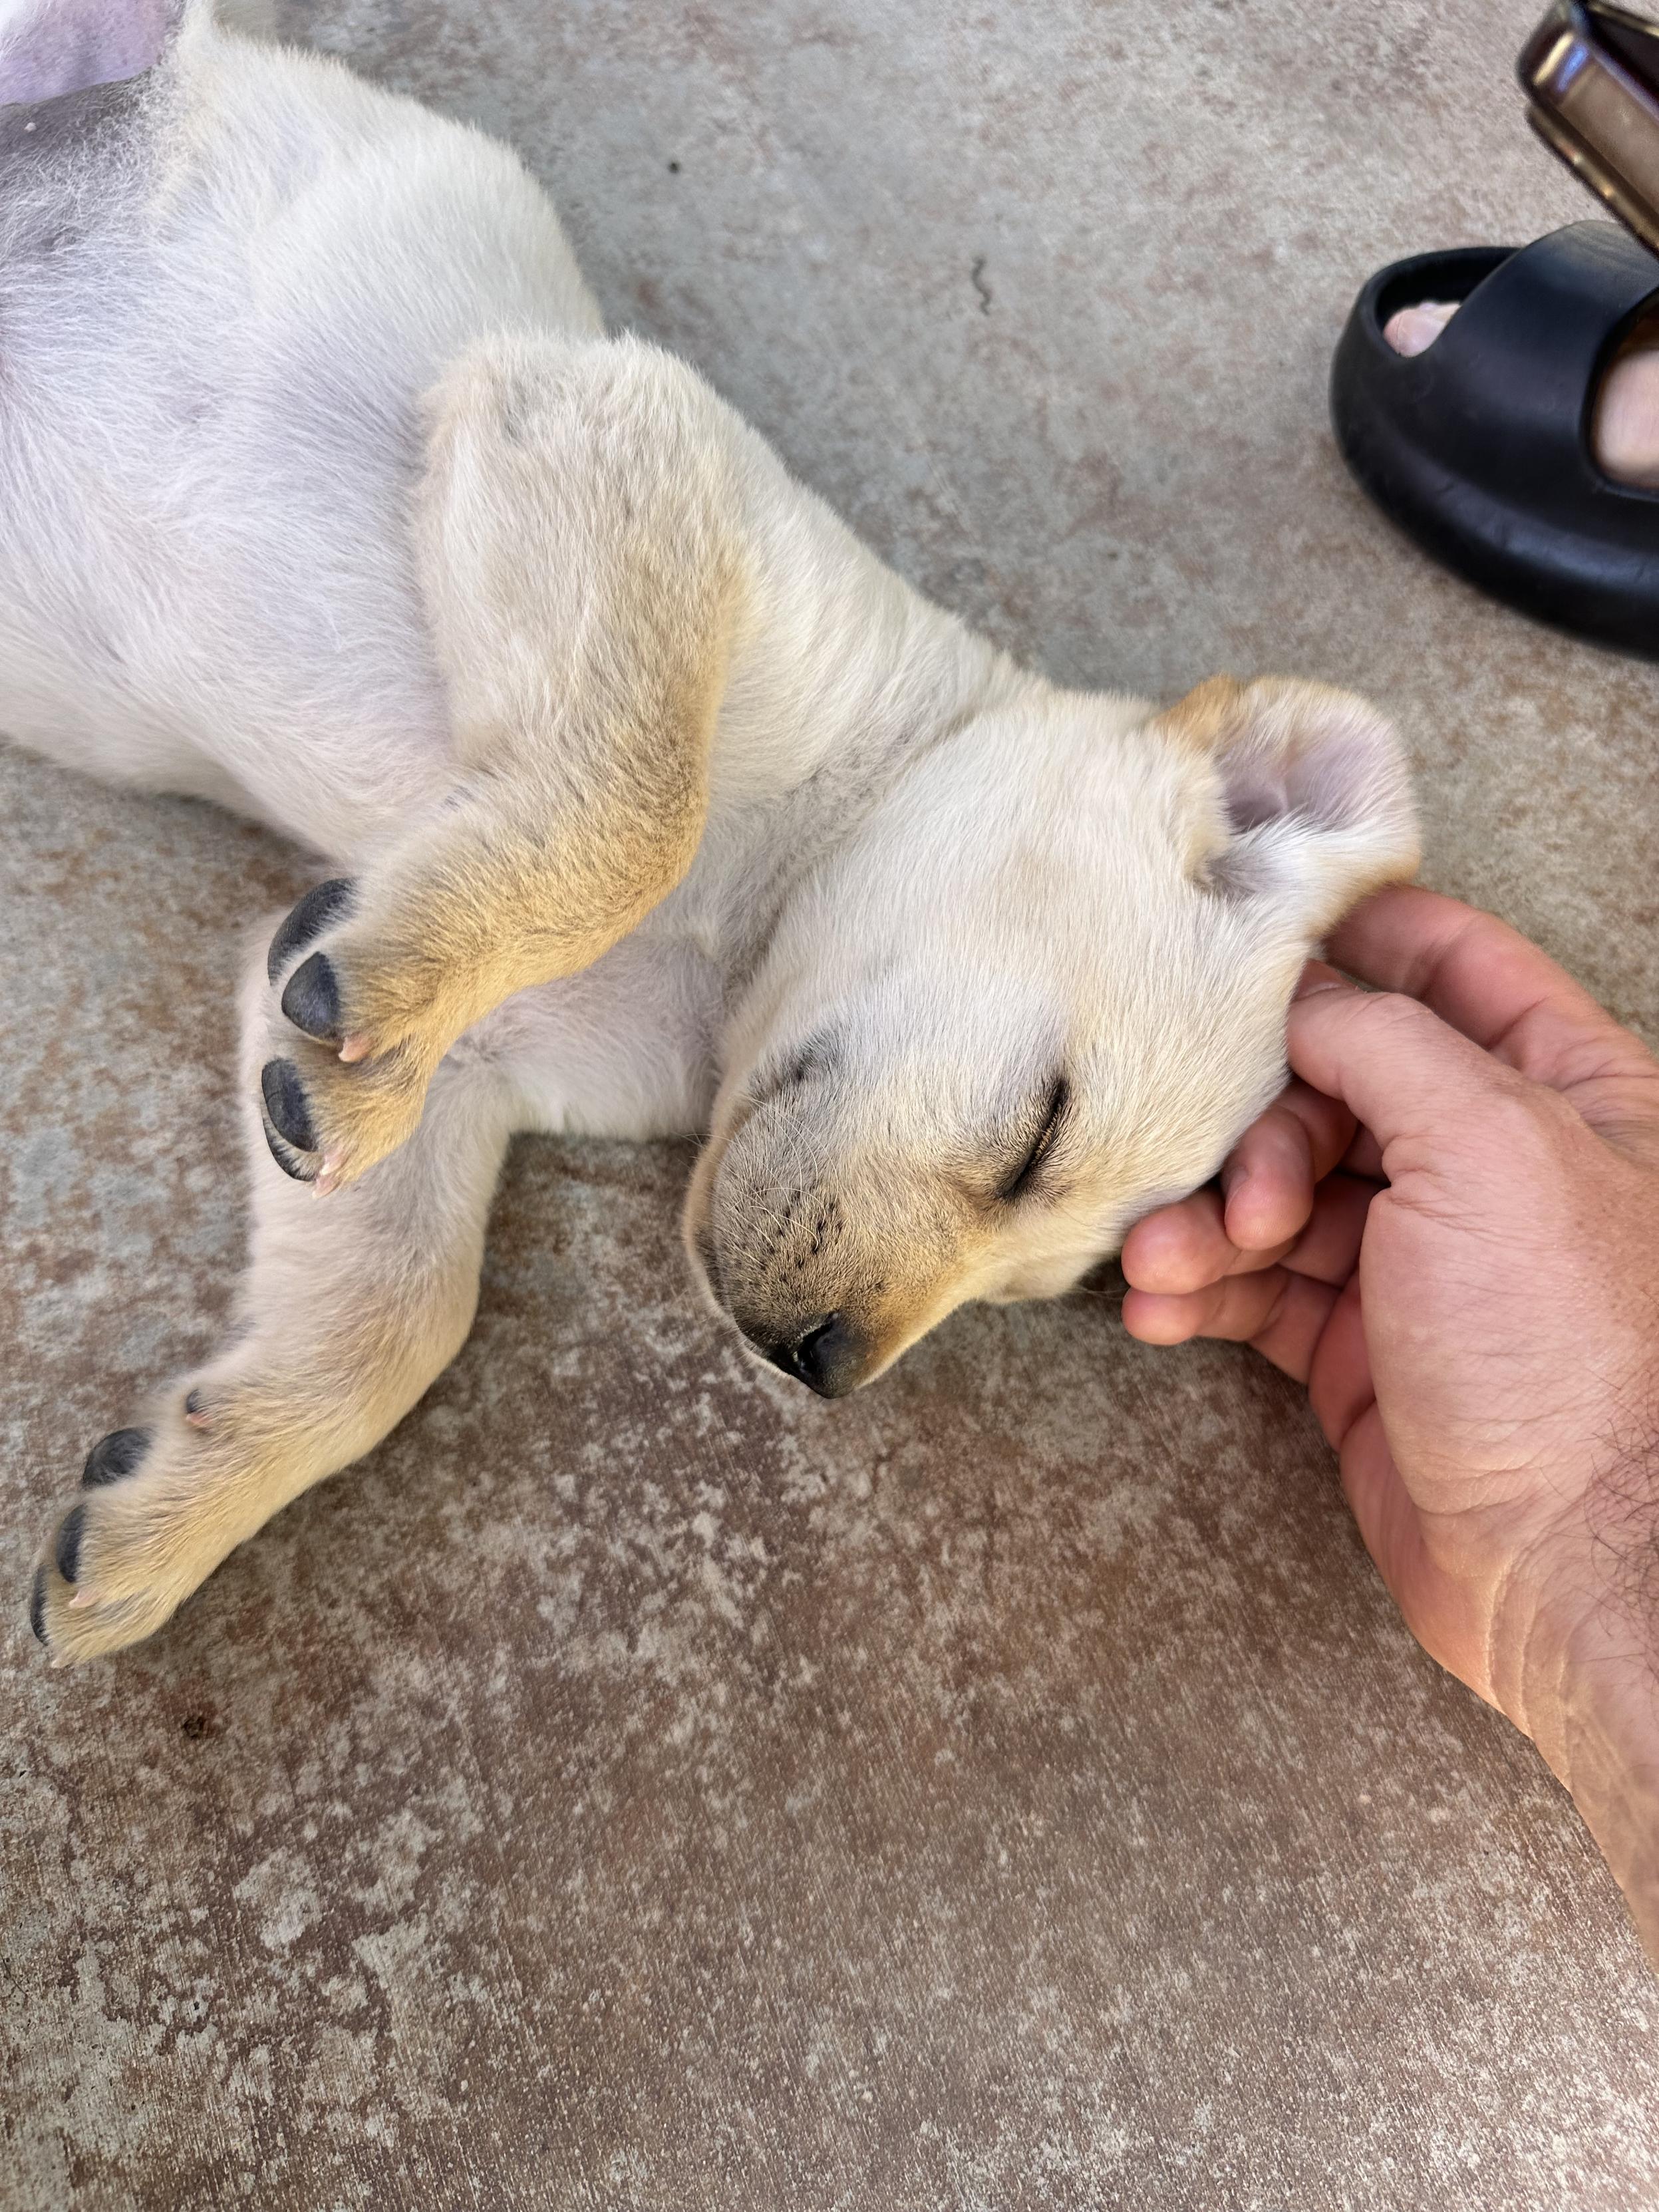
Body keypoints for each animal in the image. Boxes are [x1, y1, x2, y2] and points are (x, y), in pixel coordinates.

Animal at [2, 0, 1419, 1661]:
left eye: (1038, 1285)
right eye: (1038, 1134)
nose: (819, 1366)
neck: (740, 946)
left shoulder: (456, 1055)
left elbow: (396, 1317)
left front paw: (172, 1511)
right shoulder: (610, 431)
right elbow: (640, 811)